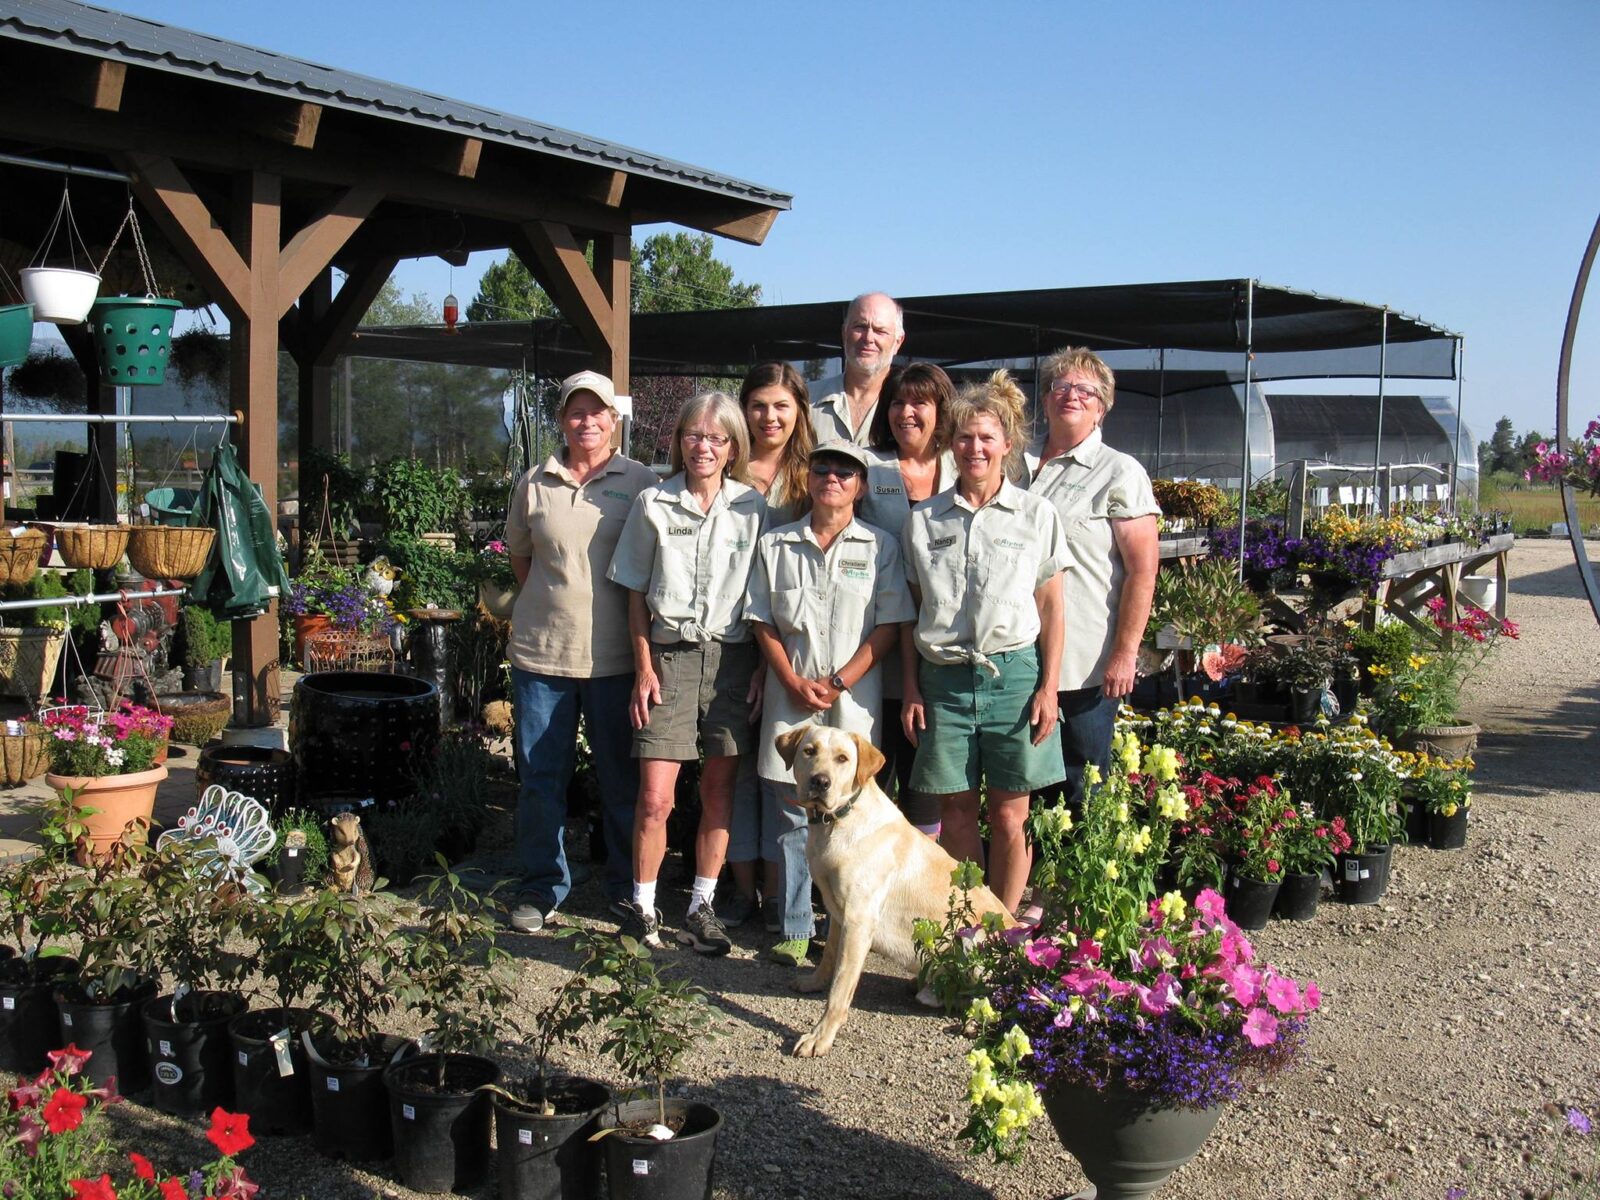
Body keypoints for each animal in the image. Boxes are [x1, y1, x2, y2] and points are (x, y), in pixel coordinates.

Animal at [773, 725, 1018, 1058]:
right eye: (809, 751)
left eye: (842, 759)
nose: (820, 782)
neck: (839, 820)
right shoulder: (838, 912)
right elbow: (828, 958)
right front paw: (814, 982)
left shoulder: (859, 921)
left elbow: (840, 988)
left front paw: (819, 1037)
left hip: (975, 937)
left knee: (1001, 997)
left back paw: (972, 1018)